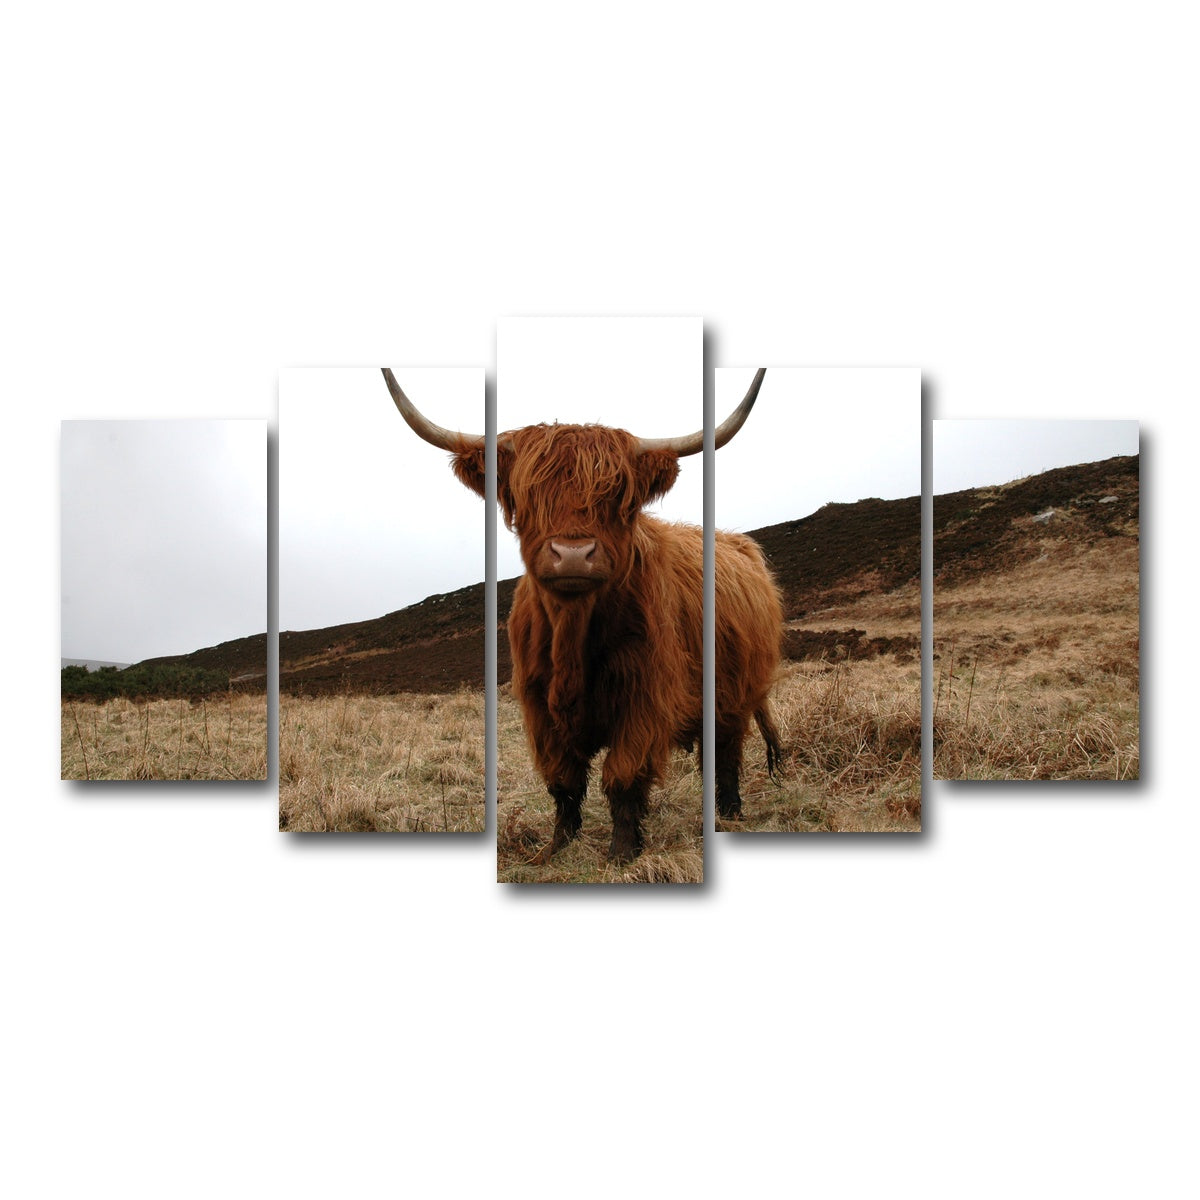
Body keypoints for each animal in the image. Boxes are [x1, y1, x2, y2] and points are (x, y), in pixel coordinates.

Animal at [383, 367, 783, 863]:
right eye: (528, 494)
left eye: (616, 496)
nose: (572, 554)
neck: (571, 638)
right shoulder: (537, 705)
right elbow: (563, 780)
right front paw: (556, 846)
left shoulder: (645, 699)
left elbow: (623, 776)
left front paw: (622, 851)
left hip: (737, 694)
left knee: (726, 752)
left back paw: (728, 812)